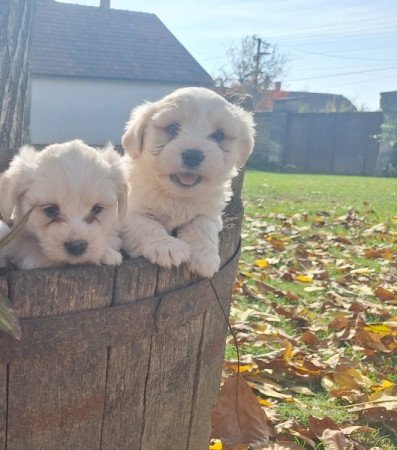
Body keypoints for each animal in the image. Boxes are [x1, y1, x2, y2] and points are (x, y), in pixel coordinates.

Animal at [120, 87, 254, 278]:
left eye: (219, 135)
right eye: (172, 128)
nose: (193, 155)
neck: (178, 196)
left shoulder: (210, 214)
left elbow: (203, 226)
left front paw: (205, 257)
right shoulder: (127, 212)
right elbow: (145, 225)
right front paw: (166, 246)